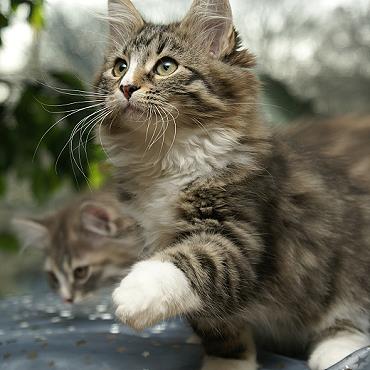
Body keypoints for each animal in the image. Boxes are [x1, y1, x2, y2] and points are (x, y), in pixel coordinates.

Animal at [94, 0, 370, 370]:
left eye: (166, 66)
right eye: (119, 67)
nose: (125, 87)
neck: (167, 154)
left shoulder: (242, 232)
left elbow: (196, 259)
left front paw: (134, 293)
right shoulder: (152, 232)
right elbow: (216, 324)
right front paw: (227, 361)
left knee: (348, 318)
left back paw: (337, 350)